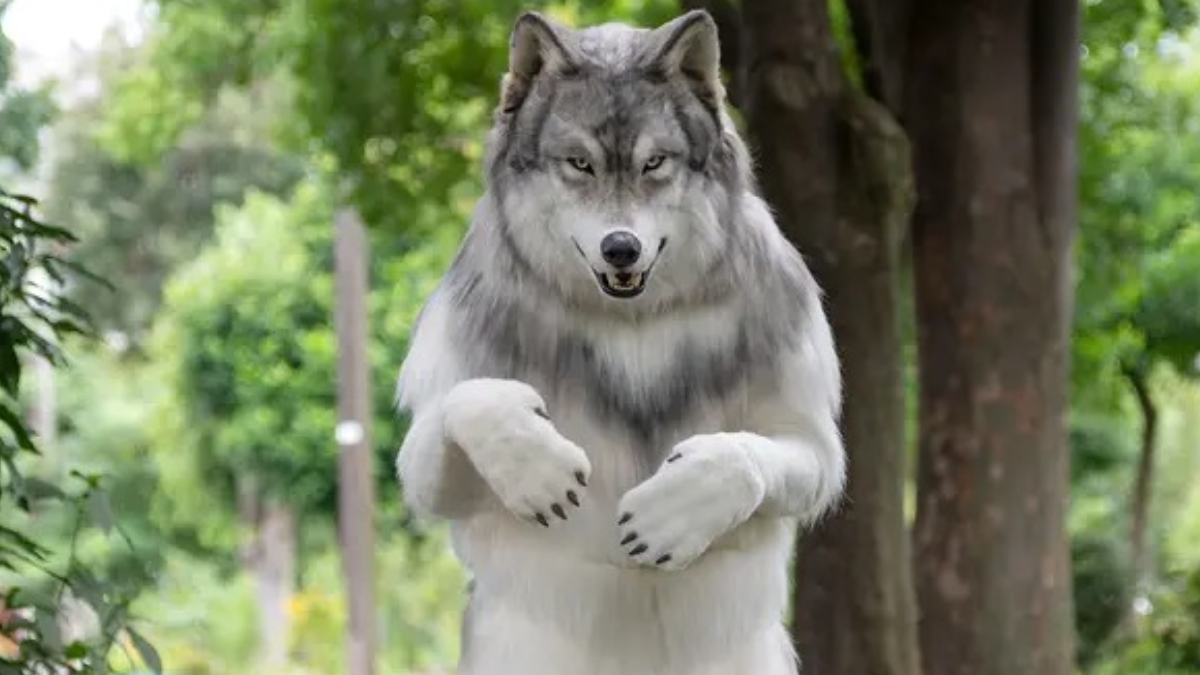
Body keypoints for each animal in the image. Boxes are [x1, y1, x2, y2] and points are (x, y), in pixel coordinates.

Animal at [395, 9, 846, 675]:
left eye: (654, 163)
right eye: (579, 164)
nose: (621, 248)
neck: (628, 323)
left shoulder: (808, 442)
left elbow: (741, 456)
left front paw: (677, 509)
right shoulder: (429, 458)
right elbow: (472, 400)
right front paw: (537, 467)